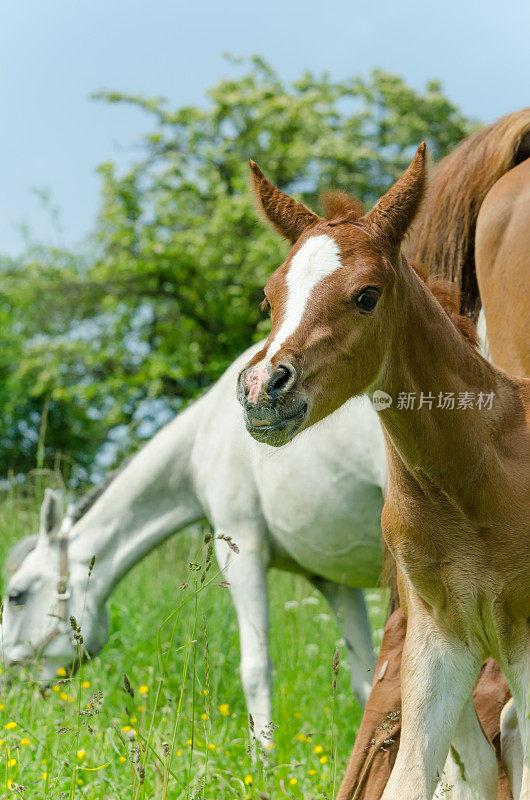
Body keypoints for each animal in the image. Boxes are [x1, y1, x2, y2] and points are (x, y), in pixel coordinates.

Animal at [2, 340, 386, 740]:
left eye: (16, 596)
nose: (8, 684)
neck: (206, 434)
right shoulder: (334, 577)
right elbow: (367, 682)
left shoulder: (242, 552)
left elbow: (256, 671)